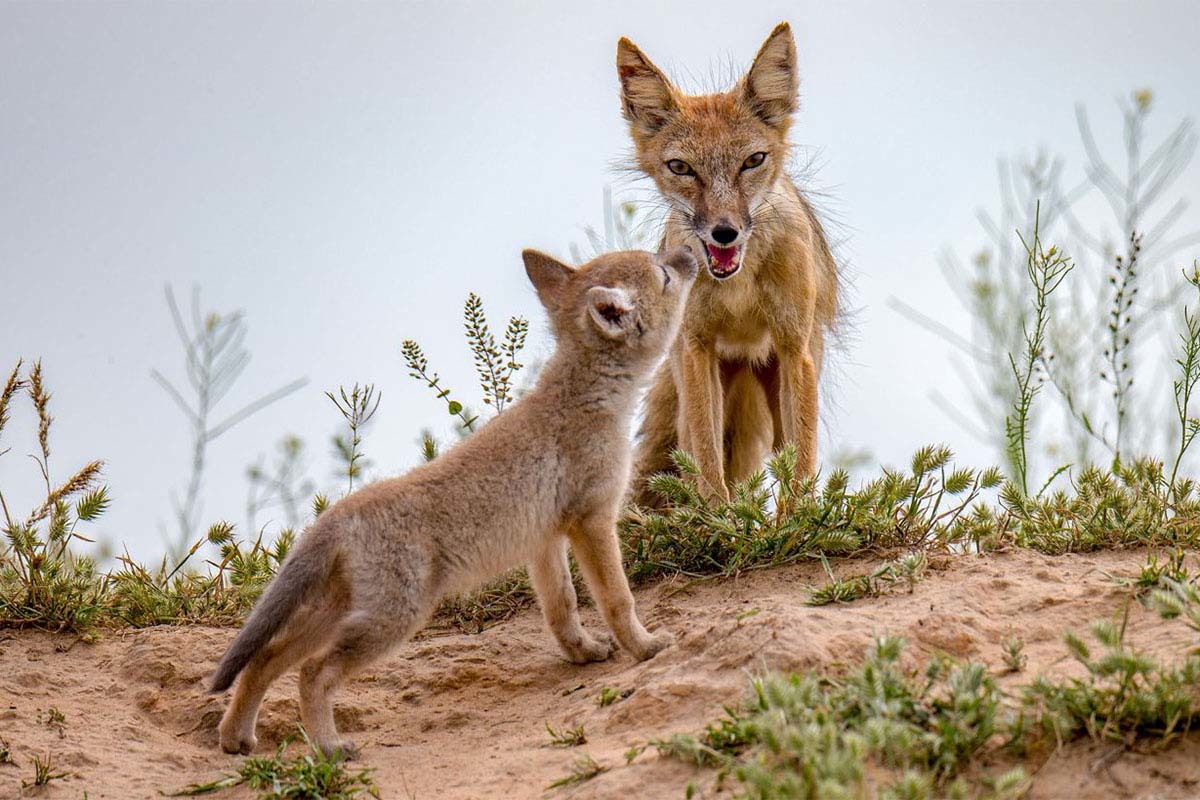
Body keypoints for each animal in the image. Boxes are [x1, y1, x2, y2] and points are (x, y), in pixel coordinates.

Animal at [619, 21, 844, 503]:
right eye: (681, 167)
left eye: (753, 161)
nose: (725, 232)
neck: (738, 290)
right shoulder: (697, 349)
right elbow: (706, 462)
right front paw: (718, 516)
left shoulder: (793, 348)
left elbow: (800, 467)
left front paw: (798, 518)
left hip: (777, 383)